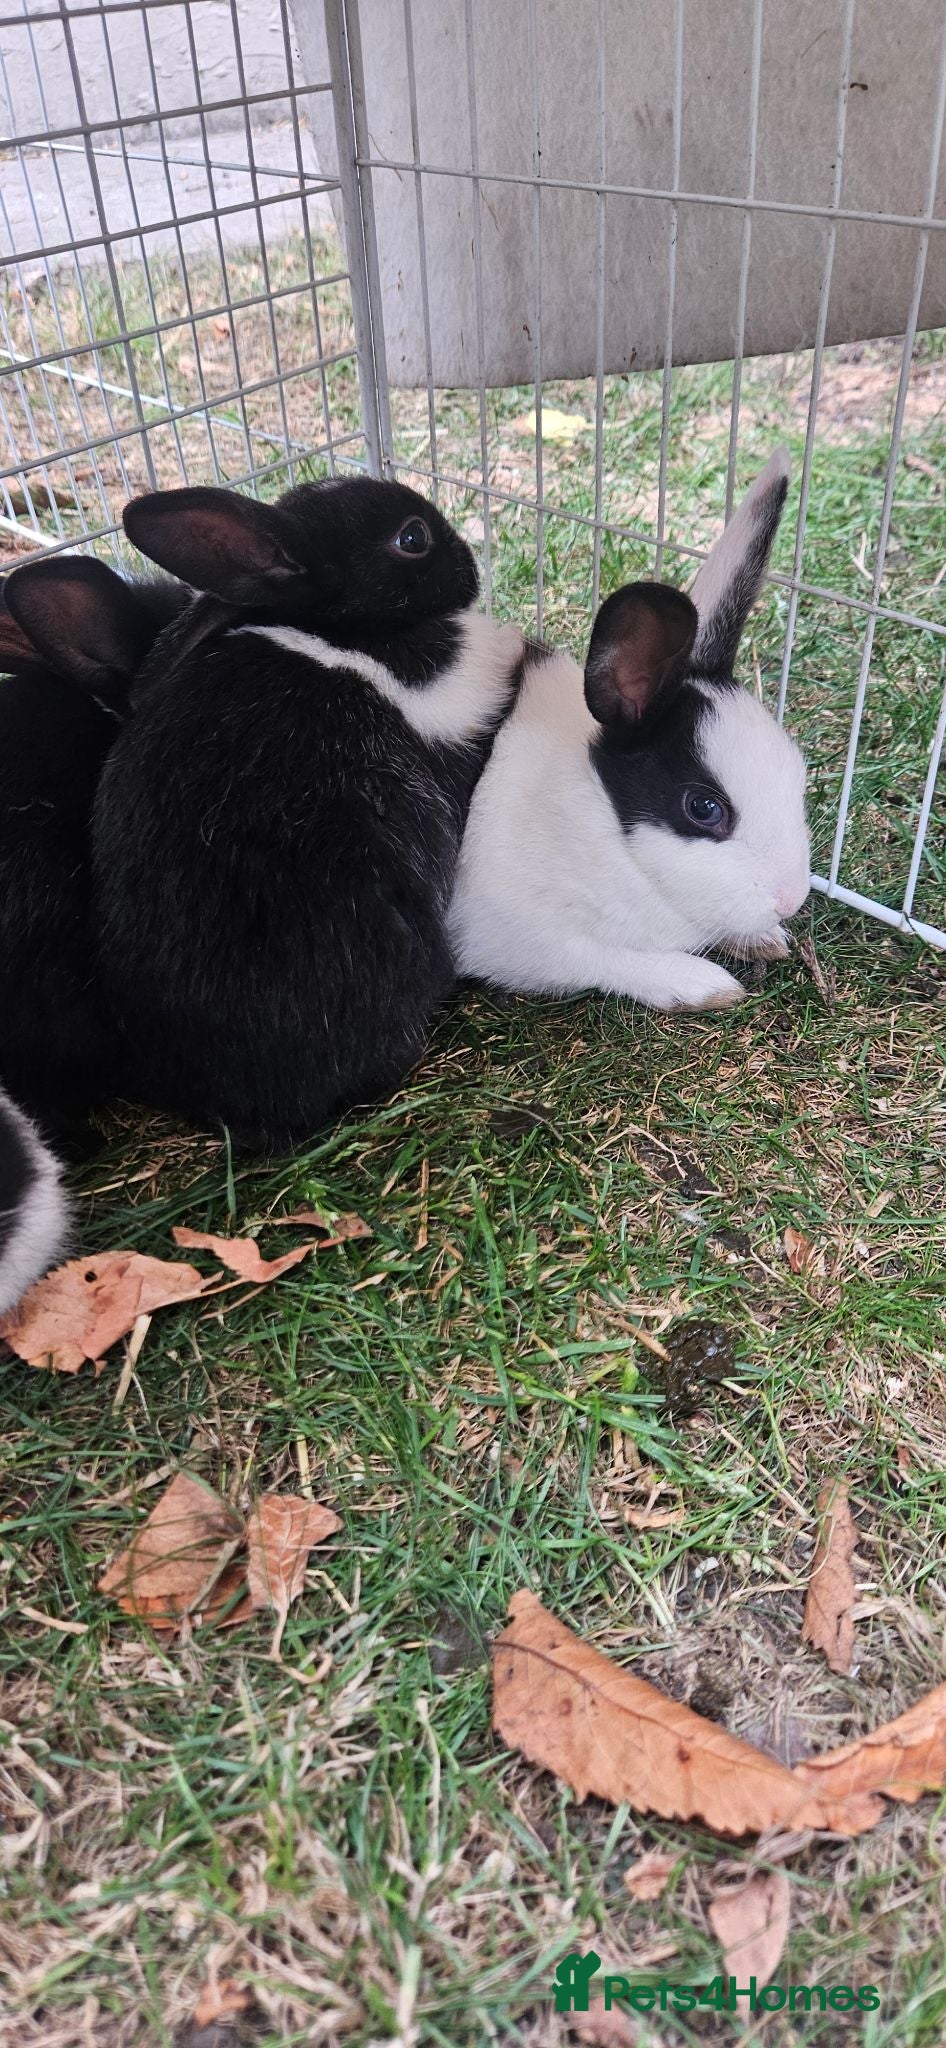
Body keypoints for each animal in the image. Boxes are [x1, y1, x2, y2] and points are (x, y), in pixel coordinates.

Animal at [449, 449, 810, 1012]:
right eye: (704, 808)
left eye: (797, 773)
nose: (790, 900)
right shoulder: (511, 937)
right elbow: (601, 958)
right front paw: (701, 984)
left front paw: (765, 939)